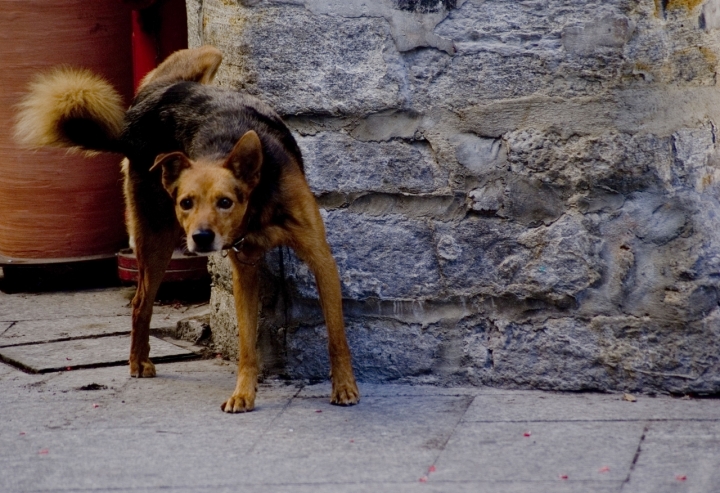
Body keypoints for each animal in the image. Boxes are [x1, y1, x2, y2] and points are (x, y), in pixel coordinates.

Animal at [17, 46, 362, 410]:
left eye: (225, 202)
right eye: (186, 203)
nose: (201, 237)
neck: (256, 207)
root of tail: (132, 123)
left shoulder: (320, 259)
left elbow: (336, 335)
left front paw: (344, 387)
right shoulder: (243, 273)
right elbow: (246, 346)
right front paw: (243, 393)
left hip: (206, 55)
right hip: (155, 239)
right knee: (141, 302)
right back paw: (137, 361)